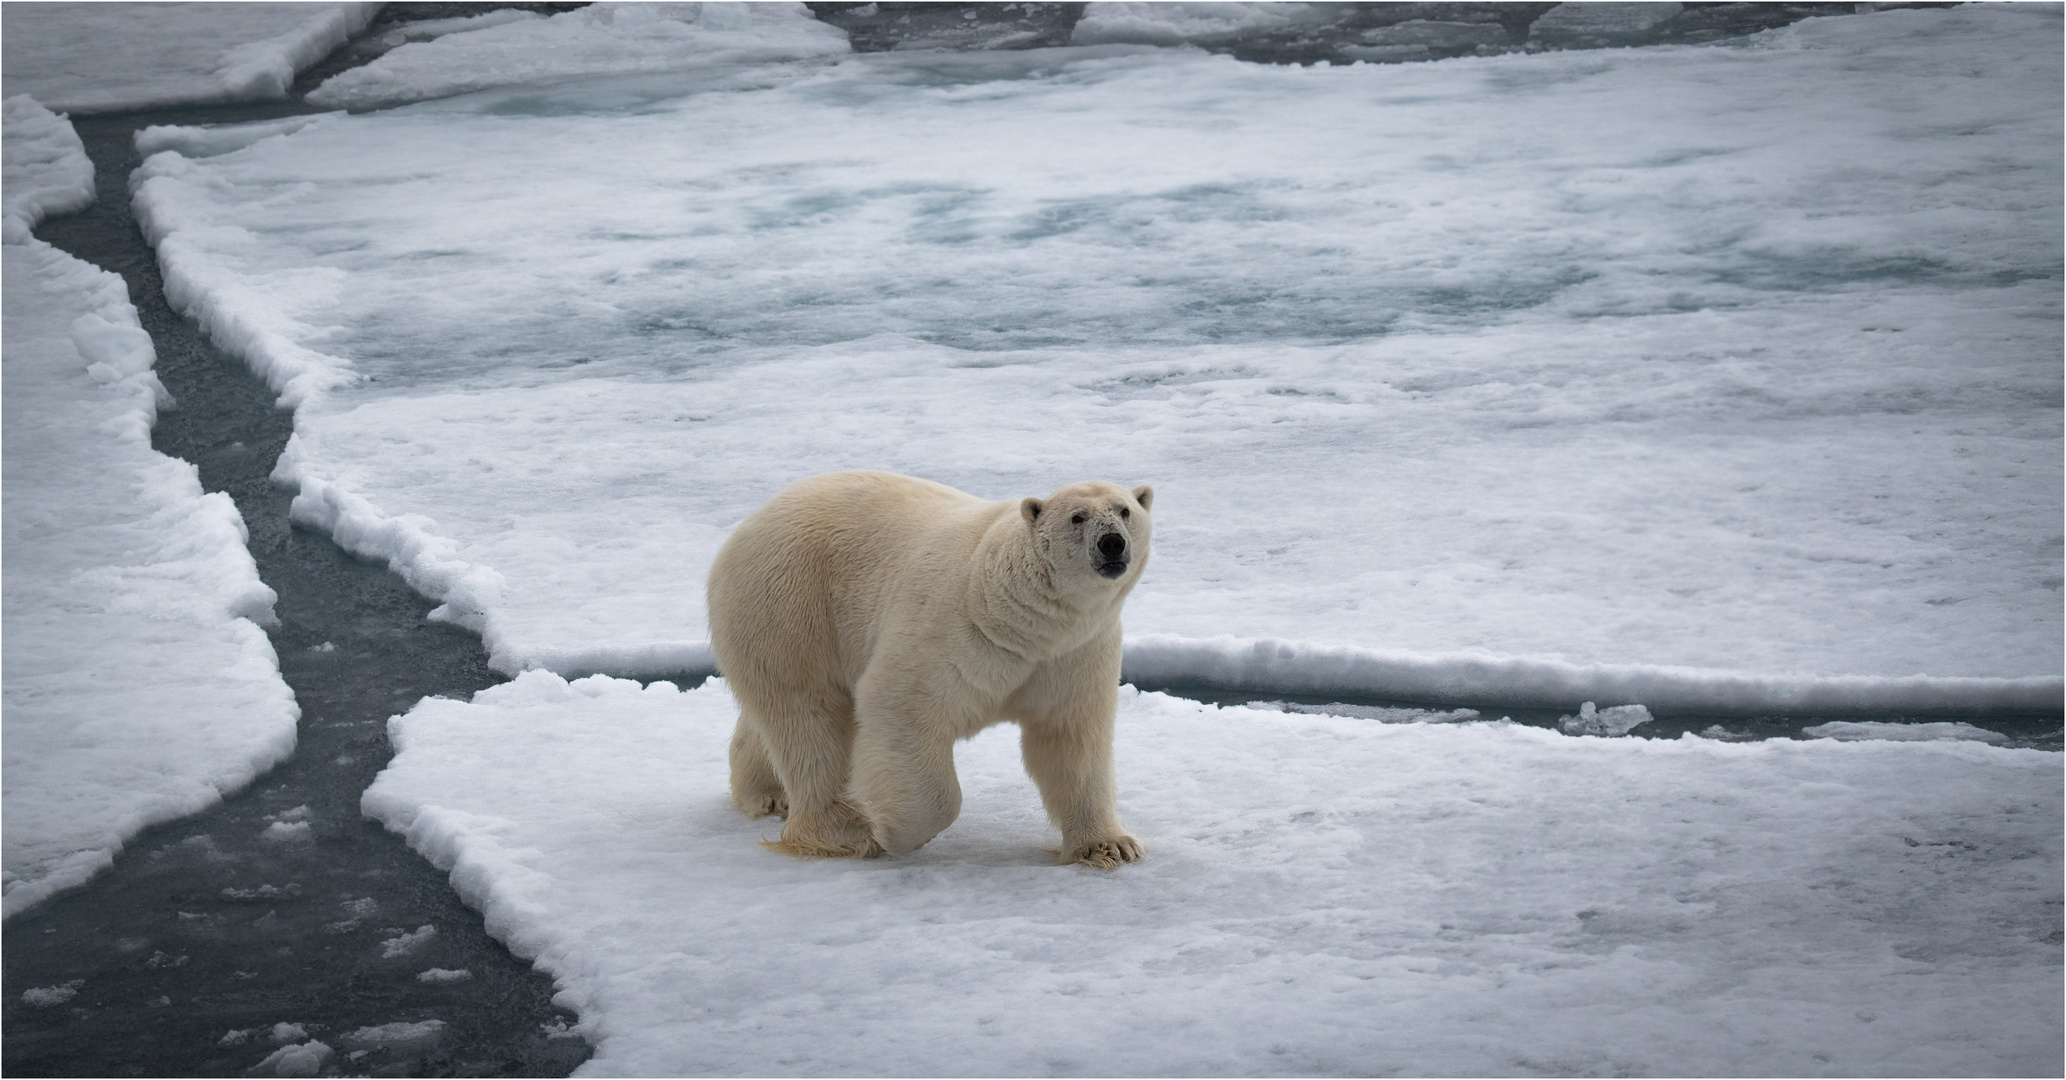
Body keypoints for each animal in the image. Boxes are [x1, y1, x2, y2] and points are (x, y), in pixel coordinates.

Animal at [714, 470, 1156, 871]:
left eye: (1125, 510)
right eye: (1077, 517)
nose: (1112, 542)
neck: (1020, 620)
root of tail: (752, 521)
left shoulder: (1074, 653)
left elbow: (1073, 741)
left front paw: (1110, 846)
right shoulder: (951, 632)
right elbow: (902, 709)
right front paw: (890, 831)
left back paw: (768, 793)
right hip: (791, 605)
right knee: (808, 719)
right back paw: (845, 831)